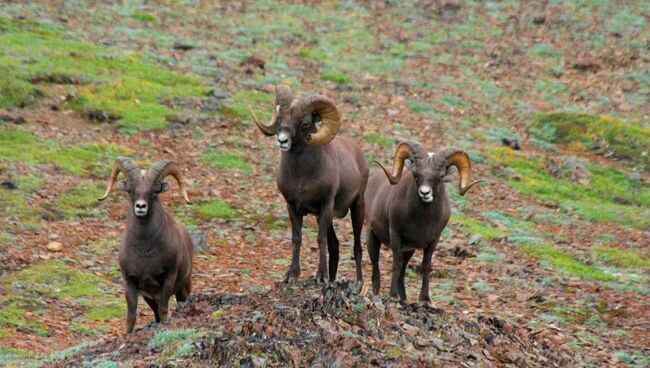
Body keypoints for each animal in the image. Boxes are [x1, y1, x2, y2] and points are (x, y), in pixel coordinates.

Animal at [97, 158, 191, 334]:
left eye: (154, 193)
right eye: (130, 192)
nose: (140, 207)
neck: (145, 252)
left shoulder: (168, 279)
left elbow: (163, 310)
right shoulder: (130, 283)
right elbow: (131, 316)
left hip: (184, 287)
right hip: (149, 297)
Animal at [249, 85, 368, 284]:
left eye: (304, 124)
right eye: (280, 118)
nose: (282, 140)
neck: (302, 179)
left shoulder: (325, 206)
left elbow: (320, 239)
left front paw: (321, 277)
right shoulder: (293, 206)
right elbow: (297, 238)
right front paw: (292, 275)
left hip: (357, 209)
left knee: (357, 247)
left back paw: (359, 283)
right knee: (334, 246)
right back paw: (333, 279)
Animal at [364, 142, 480, 300]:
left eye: (440, 177)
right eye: (416, 175)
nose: (425, 193)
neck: (422, 221)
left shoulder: (433, 241)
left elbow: (426, 266)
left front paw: (425, 300)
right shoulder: (396, 236)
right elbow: (396, 264)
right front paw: (393, 295)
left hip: (409, 250)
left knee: (402, 272)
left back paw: (404, 300)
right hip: (372, 237)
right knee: (376, 268)